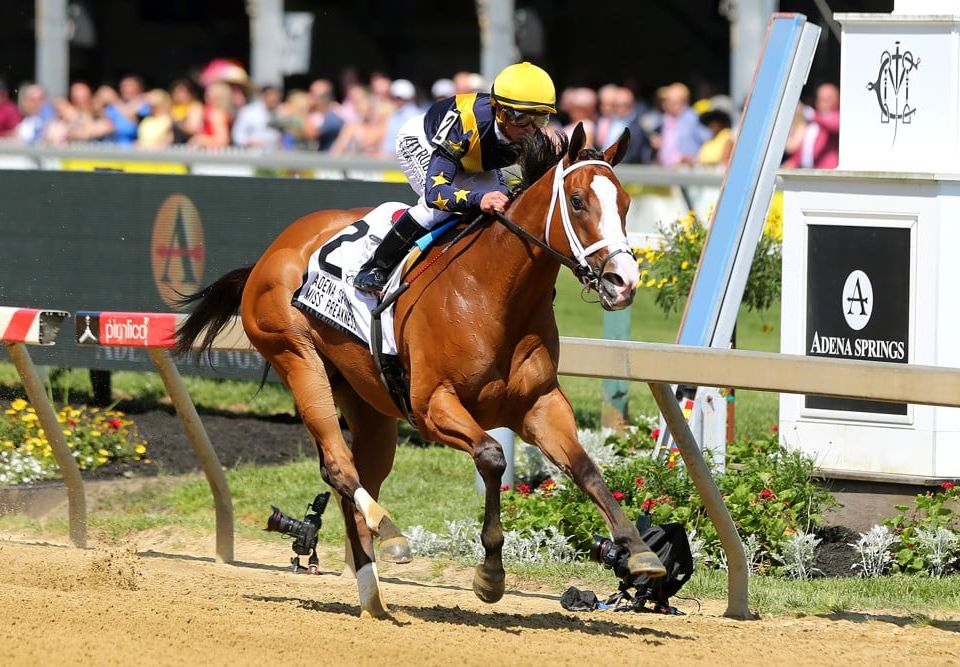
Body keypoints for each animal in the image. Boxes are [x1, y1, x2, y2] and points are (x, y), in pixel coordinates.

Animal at [175, 123, 665, 618]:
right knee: (339, 466)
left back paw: (371, 594)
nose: (623, 282)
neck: (493, 293)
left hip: (368, 403)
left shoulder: (540, 404)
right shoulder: (432, 406)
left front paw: (639, 551)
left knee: (356, 476)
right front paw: (490, 575)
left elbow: (585, 468)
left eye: (626, 203)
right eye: (579, 201)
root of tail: (270, 252)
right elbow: (492, 456)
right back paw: (390, 535)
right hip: (296, 355)